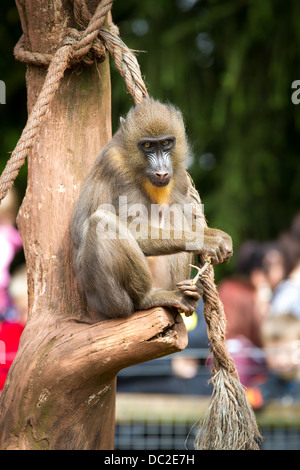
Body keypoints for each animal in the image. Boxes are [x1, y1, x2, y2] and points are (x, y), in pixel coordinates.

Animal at [71, 97, 232, 322]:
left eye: (165, 143)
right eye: (147, 145)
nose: (162, 172)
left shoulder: (179, 174)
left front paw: (216, 238)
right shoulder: (116, 168)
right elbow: (132, 227)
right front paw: (209, 241)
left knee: (175, 212)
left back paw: (190, 293)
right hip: (106, 303)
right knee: (101, 222)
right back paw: (147, 298)